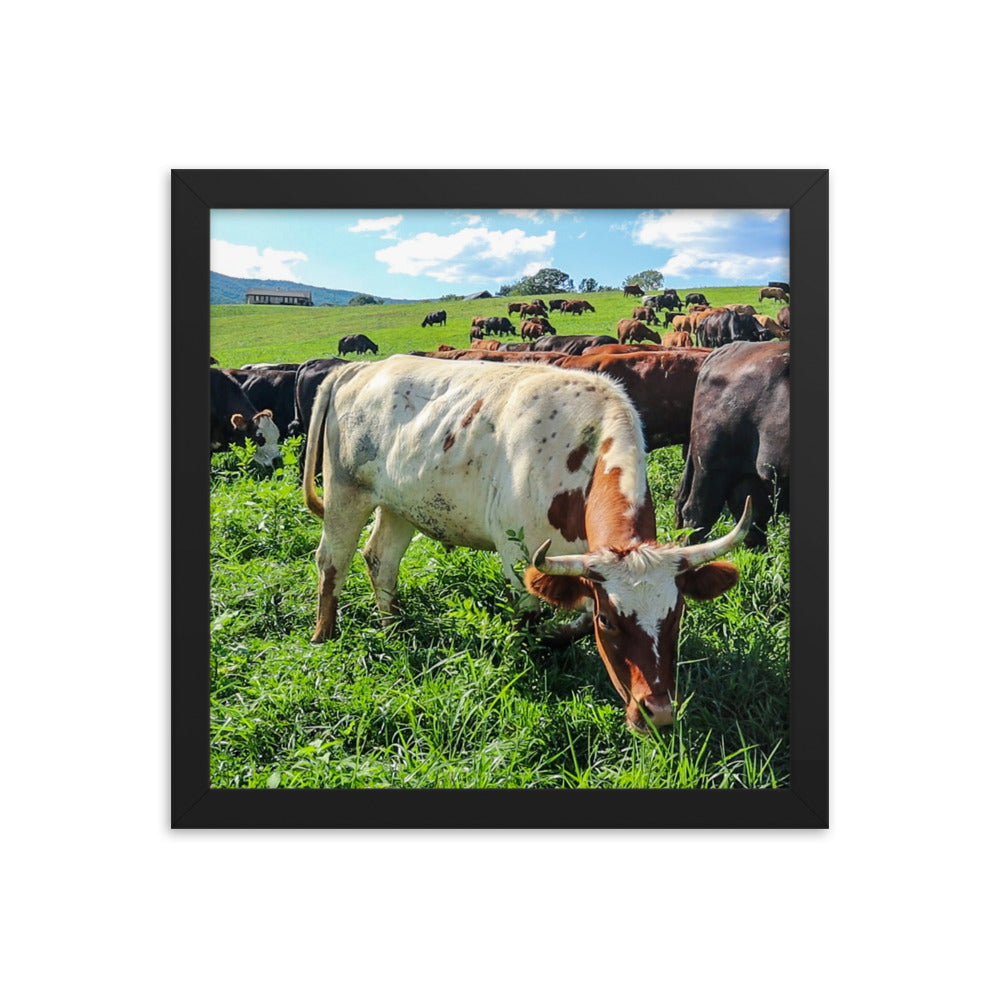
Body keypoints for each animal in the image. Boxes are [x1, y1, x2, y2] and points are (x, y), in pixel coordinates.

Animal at [302, 354, 752, 731]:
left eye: (677, 615)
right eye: (610, 621)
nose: (657, 713)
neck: (581, 453)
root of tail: (360, 368)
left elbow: (575, 620)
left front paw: (558, 637)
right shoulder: (519, 556)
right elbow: (530, 619)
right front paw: (531, 656)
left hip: (399, 506)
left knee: (381, 560)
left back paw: (393, 627)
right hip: (345, 494)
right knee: (331, 562)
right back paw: (324, 636)